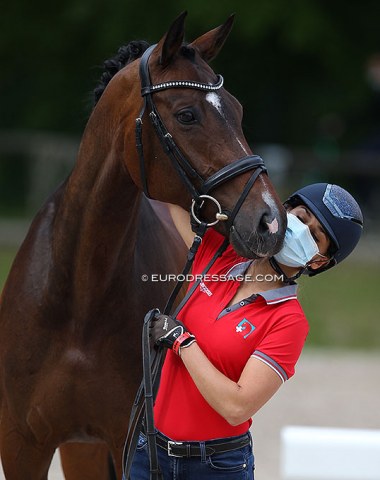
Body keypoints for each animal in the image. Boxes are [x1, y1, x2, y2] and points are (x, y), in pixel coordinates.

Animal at [0, 13, 284, 478]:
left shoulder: (128, 438)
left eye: (238, 111)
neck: (79, 296)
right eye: (186, 115)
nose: (270, 220)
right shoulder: (22, 444)